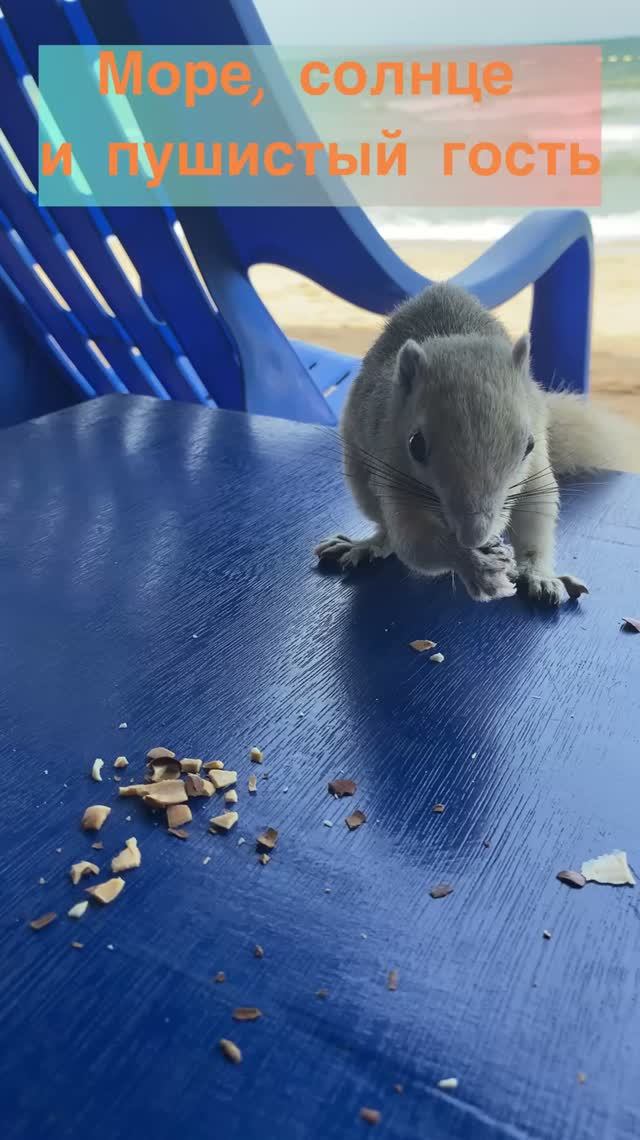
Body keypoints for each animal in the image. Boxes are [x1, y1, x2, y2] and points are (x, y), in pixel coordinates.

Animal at [315, 282, 639, 604]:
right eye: (415, 444)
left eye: (529, 445)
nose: (474, 536)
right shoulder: (394, 476)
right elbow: (414, 543)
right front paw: (473, 565)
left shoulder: (536, 475)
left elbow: (536, 523)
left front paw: (540, 575)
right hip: (363, 482)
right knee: (387, 533)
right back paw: (365, 545)